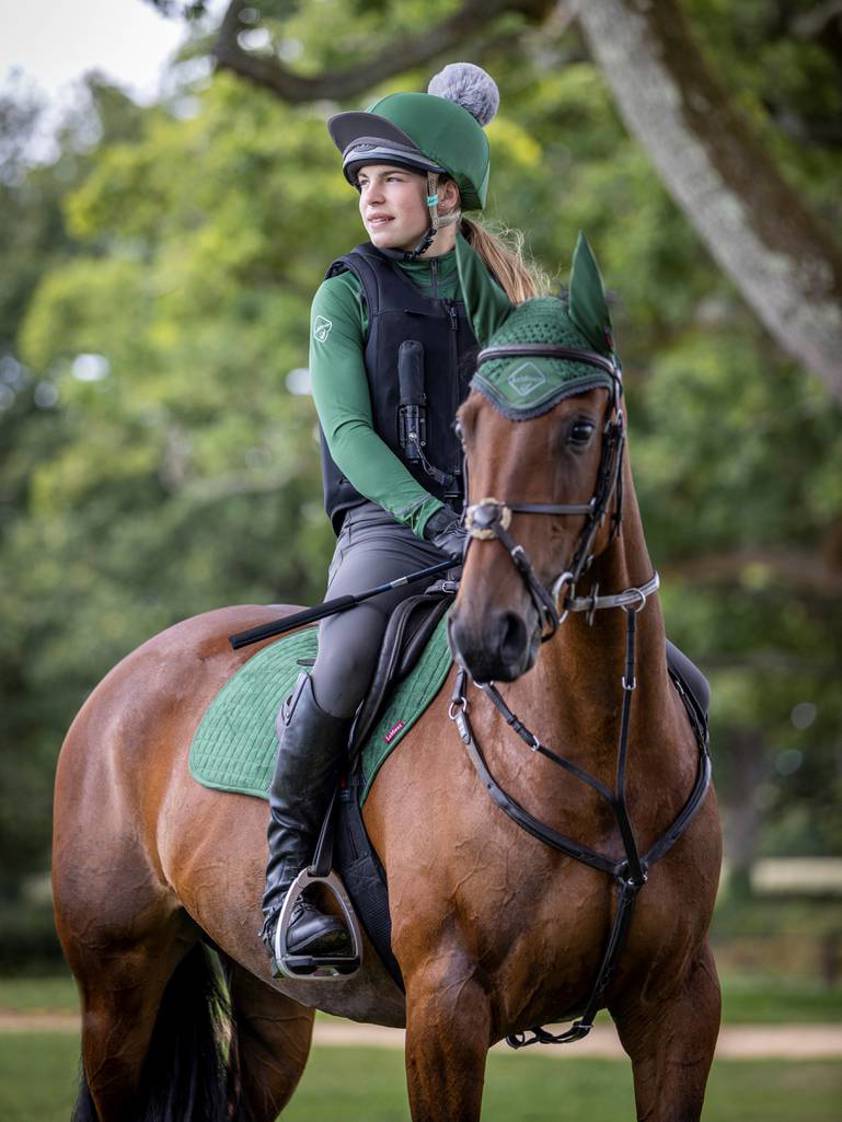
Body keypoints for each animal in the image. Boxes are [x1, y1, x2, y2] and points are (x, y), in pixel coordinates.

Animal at [54, 232, 727, 1117]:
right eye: (468, 424)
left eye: (581, 429)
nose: (486, 631)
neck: (593, 767)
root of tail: (118, 683)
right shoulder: (446, 1010)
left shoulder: (679, 1004)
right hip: (116, 987)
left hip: (268, 999)